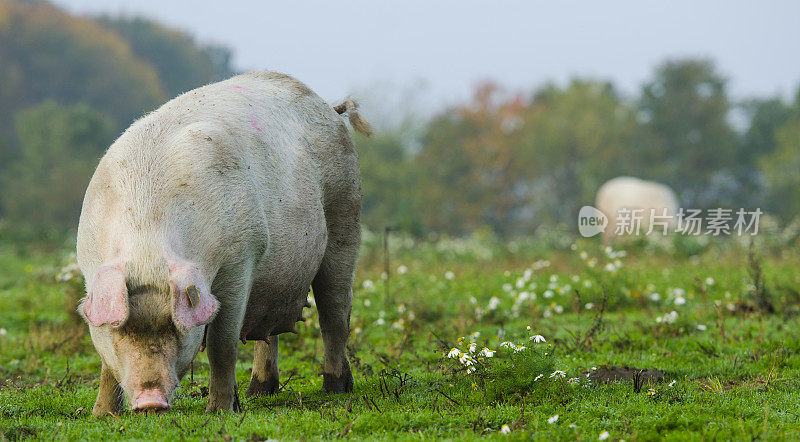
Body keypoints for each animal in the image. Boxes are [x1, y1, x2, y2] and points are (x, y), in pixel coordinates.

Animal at [76, 71, 370, 414]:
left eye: (175, 327)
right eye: (119, 330)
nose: (151, 401)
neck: (147, 242)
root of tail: (329, 108)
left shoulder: (242, 257)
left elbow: (223, 344)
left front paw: (219, 411)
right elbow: (106, 366)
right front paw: (101, 415)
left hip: (346, 215)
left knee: (335, 313)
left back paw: (336, 389)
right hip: (274, 276)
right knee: (268, 330)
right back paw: (259, 393)